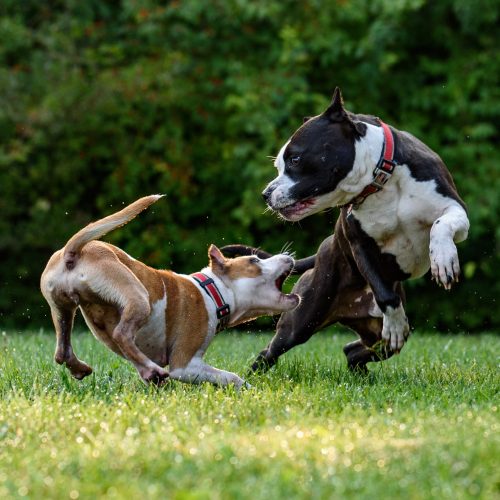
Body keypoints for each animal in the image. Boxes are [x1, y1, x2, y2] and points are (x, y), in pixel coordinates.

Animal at [41, 194, 298, 386]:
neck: (212, 291)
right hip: (138, 296)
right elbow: (231, 377)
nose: (288, 256)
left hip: (62, 308)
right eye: (255, 260)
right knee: (121, 334)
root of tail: (73, 252)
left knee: (62, 351)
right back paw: (152, 370)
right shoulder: (185, 365)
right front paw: (247, 389)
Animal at [225, 89, 470, 372]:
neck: (380, 180)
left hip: (375, 336)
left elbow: (441, 226)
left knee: (354, 350)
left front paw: (443, 260)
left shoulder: (455, 208)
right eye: (279, 165)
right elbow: (385, 294)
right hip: (302, 320)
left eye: (295, 159)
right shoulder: (359, 245)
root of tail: (324, 247)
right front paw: (395, 322)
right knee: (271, 351)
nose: (265, 193)